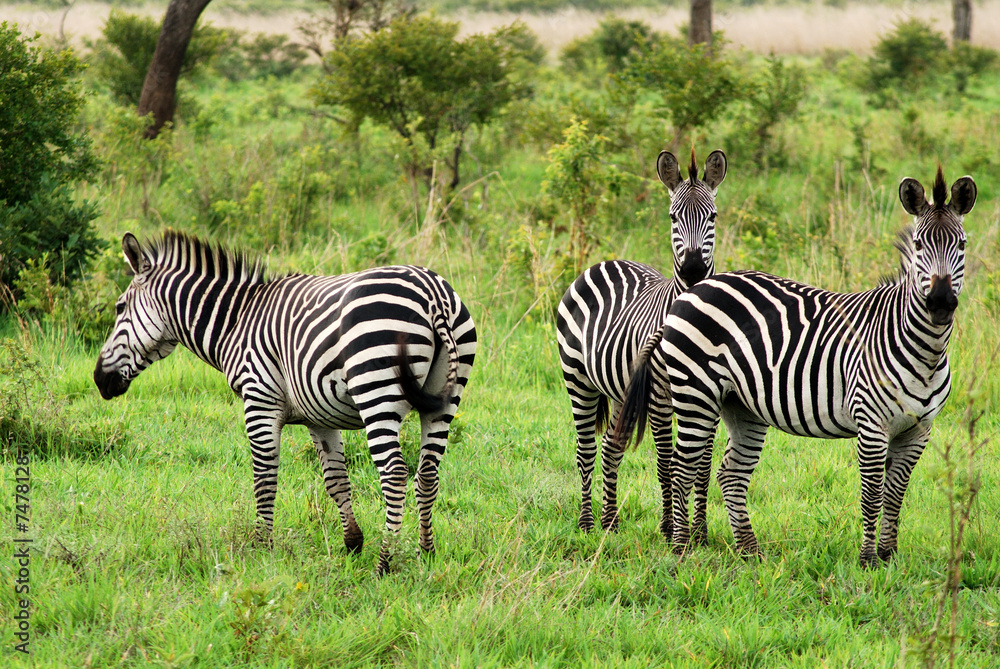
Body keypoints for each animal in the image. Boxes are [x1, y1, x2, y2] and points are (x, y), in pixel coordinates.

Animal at [94, 231, 477, 574]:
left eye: (119, 307)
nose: (99, 380)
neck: (236, 322)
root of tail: (434, 295)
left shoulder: (259, 401)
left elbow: (264, 478)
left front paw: (262, 547)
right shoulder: (319, 417)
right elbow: (336, 481)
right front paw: (352, 544)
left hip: (376, 390)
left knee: (395, 472)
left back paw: (386, 562)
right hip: (445, 399)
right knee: (427, 473)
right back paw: (426, 552)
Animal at [556, 149, 727, 536]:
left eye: (712, 216)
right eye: (673, 217)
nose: (693, 270)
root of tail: (606, 262)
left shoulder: (711, 397)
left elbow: (703, 465)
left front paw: (699, 530)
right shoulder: (660, 396)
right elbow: (667, 461)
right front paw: (669, 527)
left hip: (621, 387)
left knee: (610, 445)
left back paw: (610, 519)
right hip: (578, 379)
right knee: (586, 450)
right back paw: (587, 521)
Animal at [615, 167, 975, 566]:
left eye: (961, 245)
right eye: (919, 247)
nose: (940, 303)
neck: (924, 350)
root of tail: (692, 290)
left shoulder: (918, 431)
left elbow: (896, 494)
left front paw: (888, 555)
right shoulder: (871, 425)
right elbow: (872, 494)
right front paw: (868, 560)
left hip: (740, 405)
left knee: (730, 473)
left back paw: (749, 551)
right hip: (695, 394)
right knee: (682, 467)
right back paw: (681, 549)